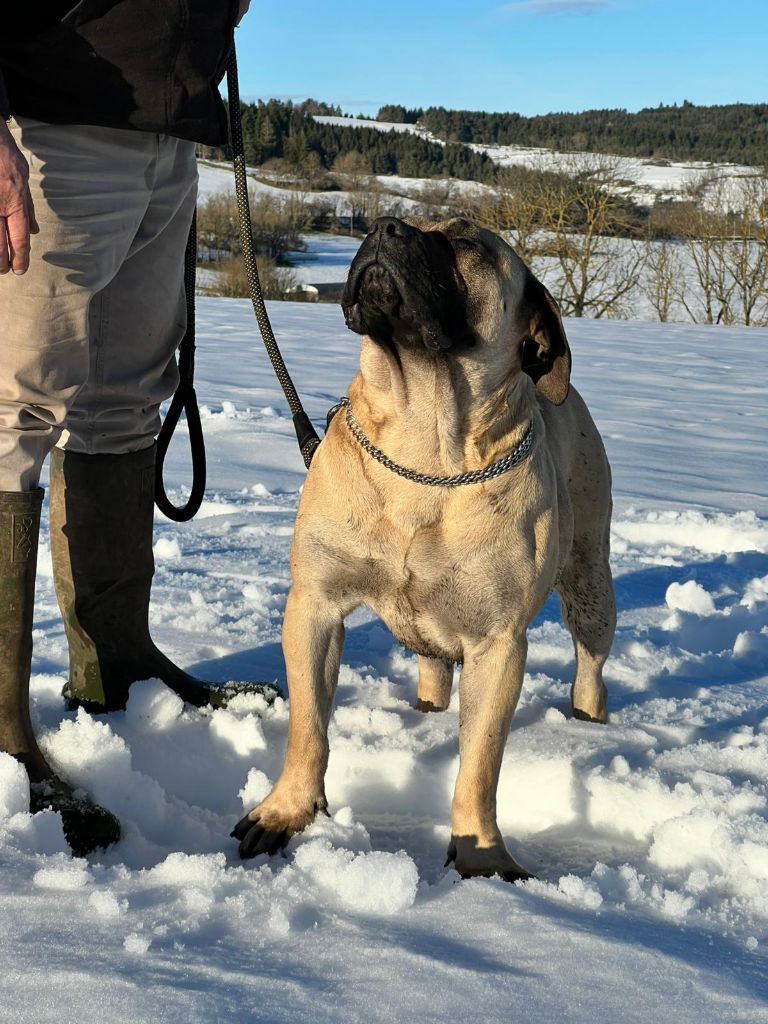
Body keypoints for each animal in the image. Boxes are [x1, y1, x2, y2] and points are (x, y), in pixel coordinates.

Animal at [231, 216, 618, 880]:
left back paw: (588, 725)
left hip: (591, 580)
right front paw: (286, 812)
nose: (387, 226)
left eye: (467, 243)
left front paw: (481, 856)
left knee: (590, 666)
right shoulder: (315, 605)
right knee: (433, 663)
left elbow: (479, 764)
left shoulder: (498, 643)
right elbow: (308, 726)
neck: (425, 447)